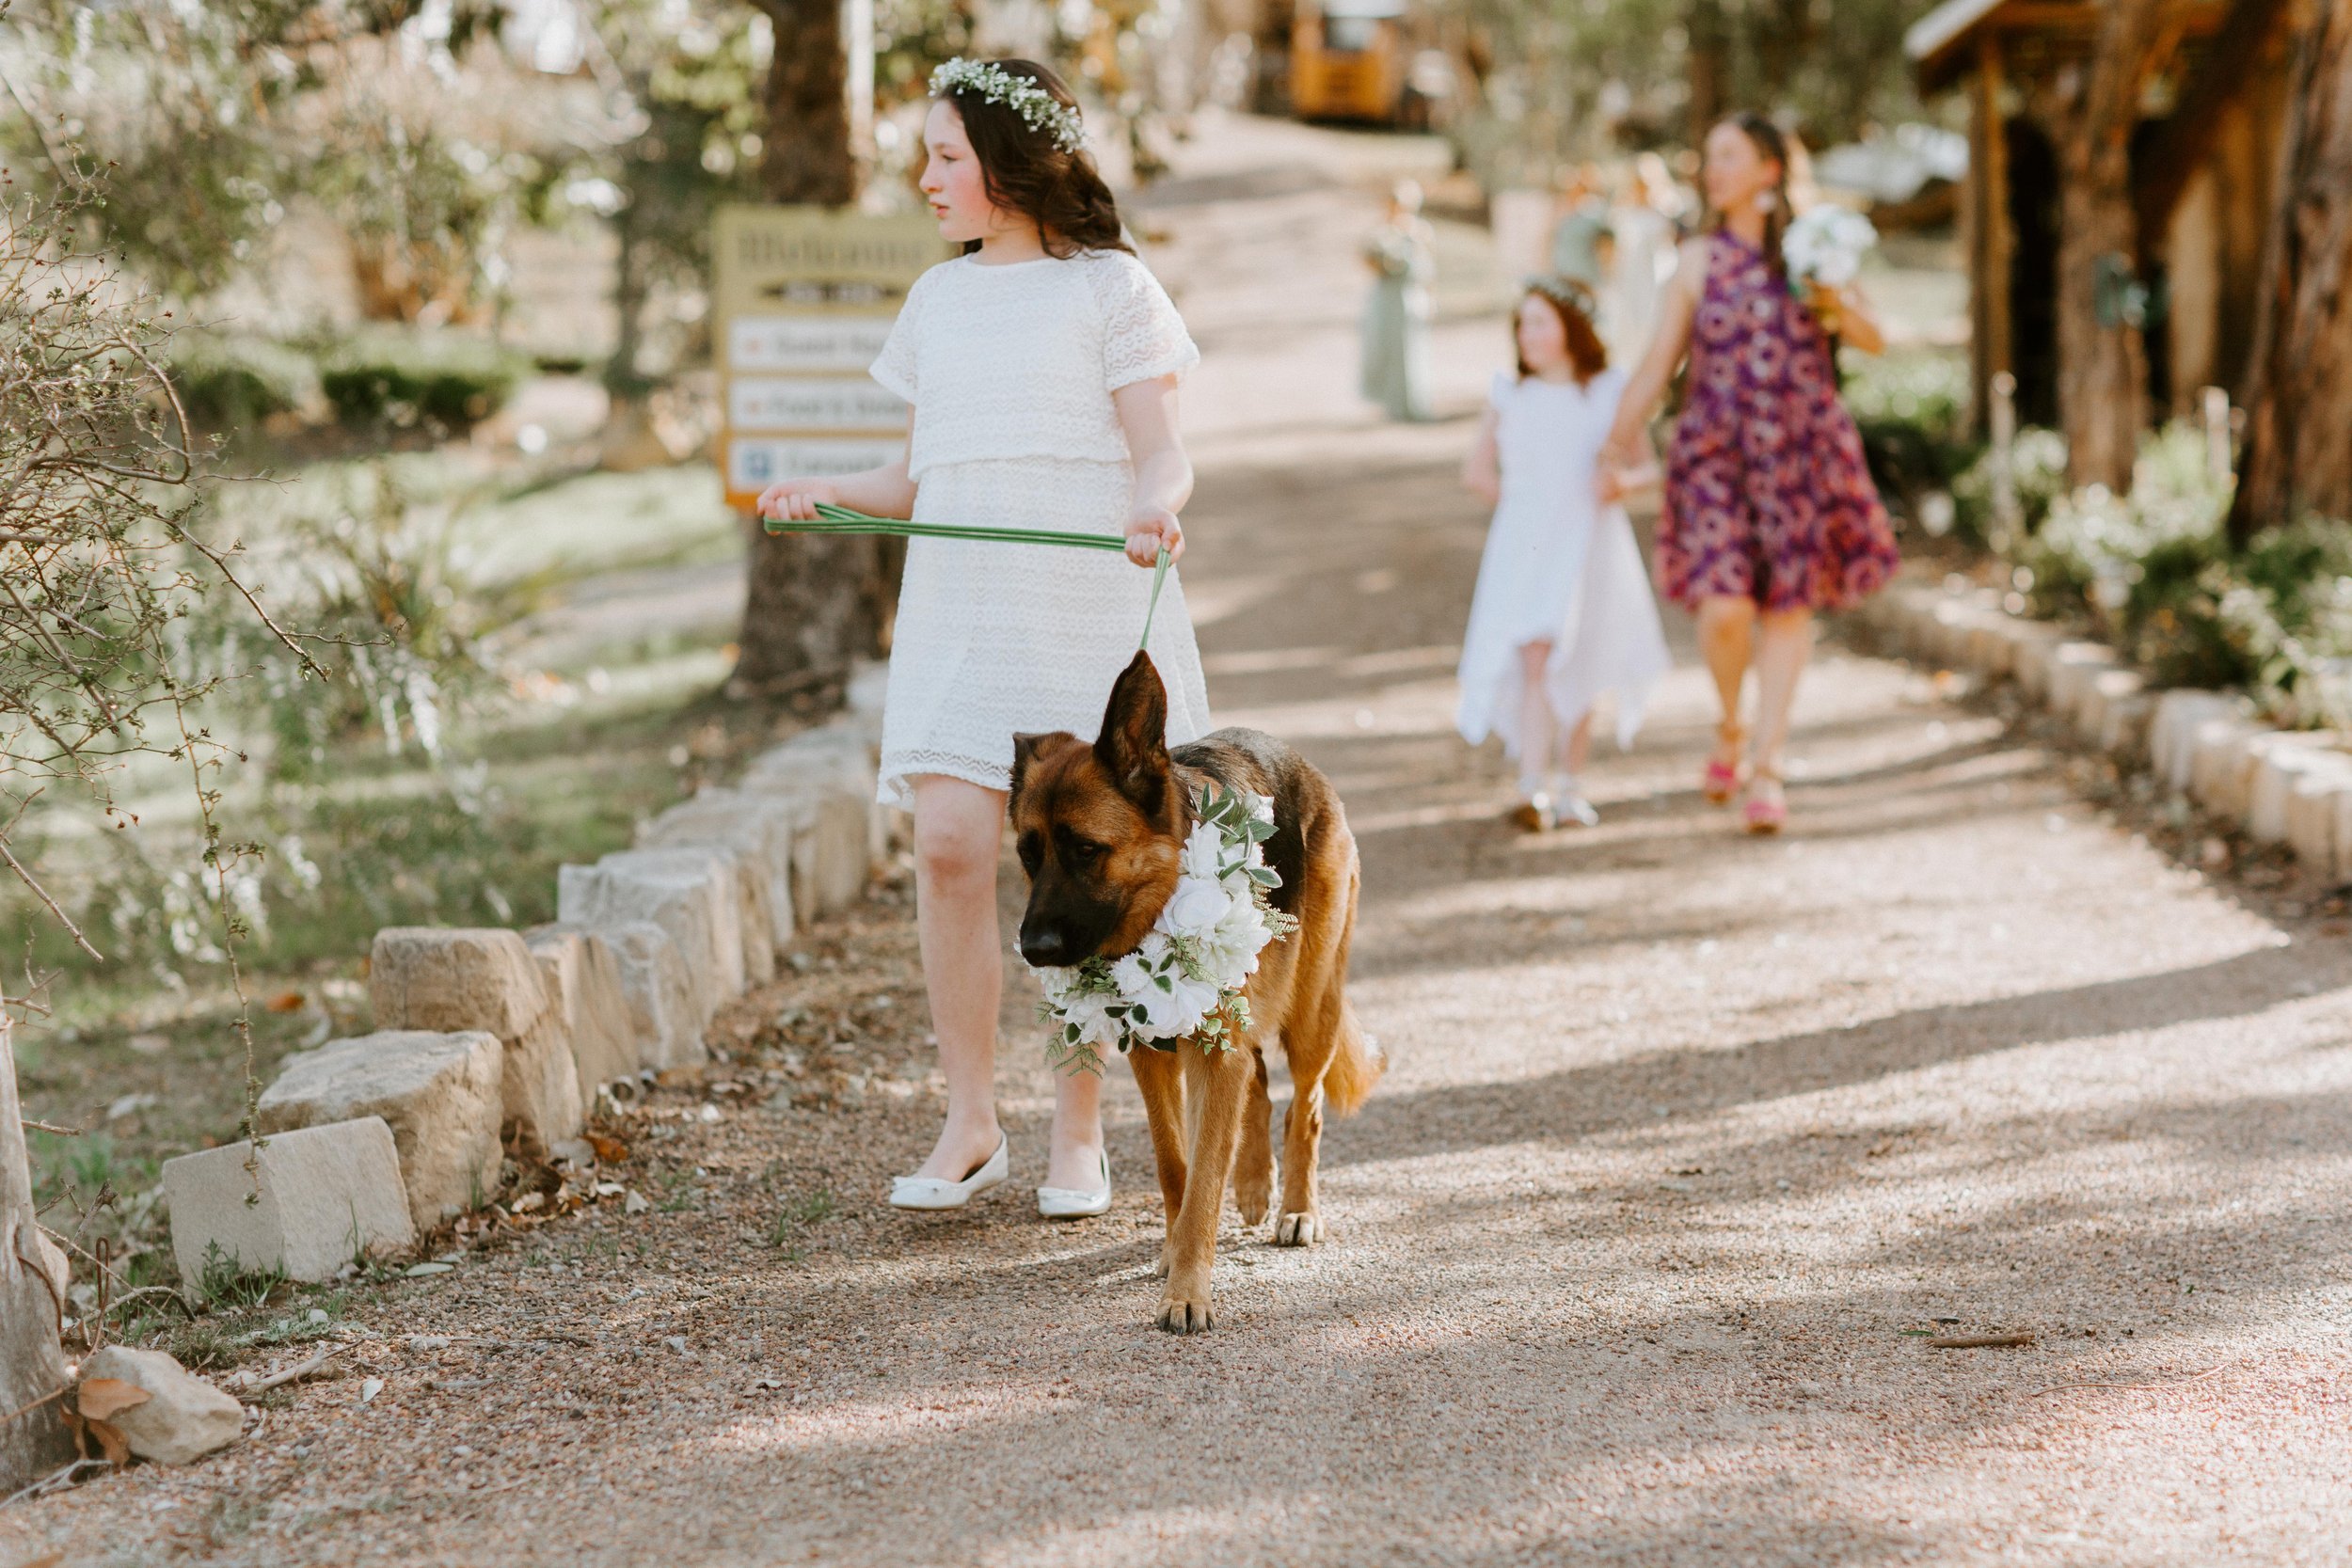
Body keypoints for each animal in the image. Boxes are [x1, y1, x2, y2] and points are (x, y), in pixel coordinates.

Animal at [1010, 651, 1382, 1333]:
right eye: (1028, 854)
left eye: (1086, 850)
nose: (1034, 949)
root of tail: (1304, 767)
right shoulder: (1153, 1051)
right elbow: (1174, 1161)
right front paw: (1176, 1247)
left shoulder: (1209, 1052)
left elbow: (1208, 1171)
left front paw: (1188, 1288)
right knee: (1256, 1077)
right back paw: (1256, 1184)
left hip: (1310, 1012)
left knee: (1306, 1106)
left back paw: (1297, 1208)